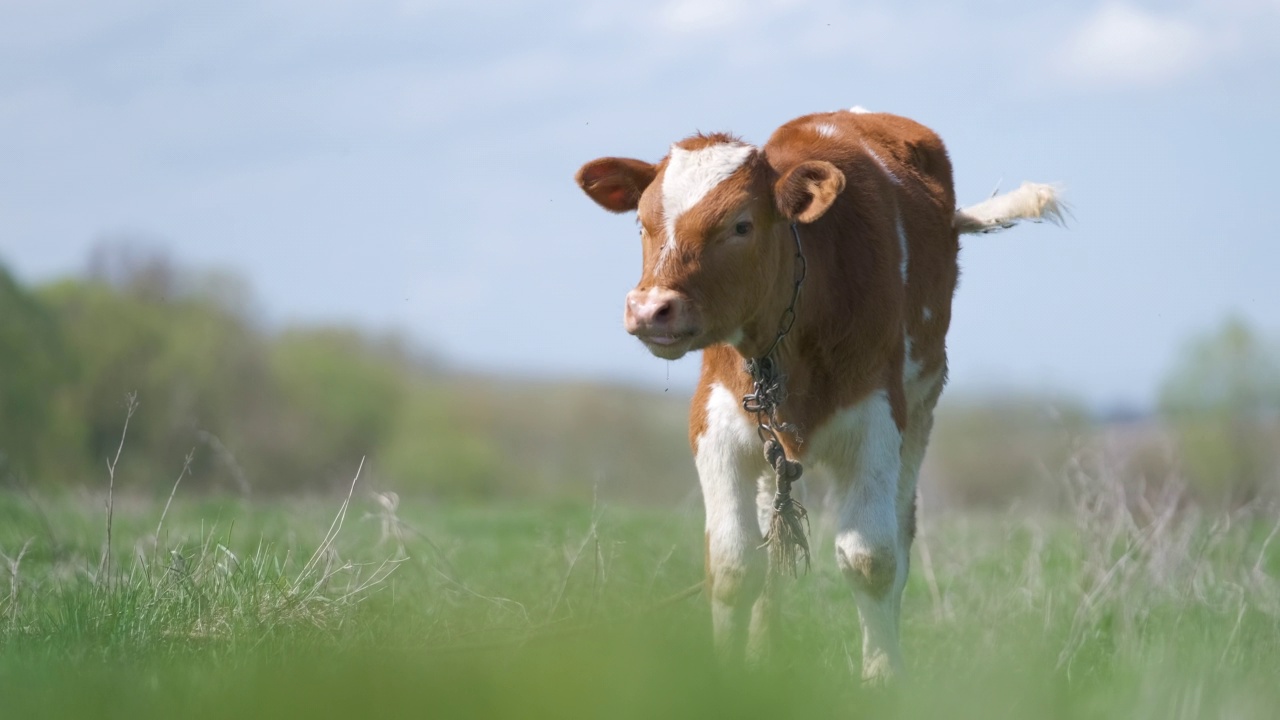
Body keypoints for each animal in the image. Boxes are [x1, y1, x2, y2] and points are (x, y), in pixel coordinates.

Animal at [576, 106, 1064, 676]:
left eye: (740, 224)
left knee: (900, 537)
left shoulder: (877, 422)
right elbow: (733, 565)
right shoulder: (717, 427)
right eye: (642, 223)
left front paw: (883, 676)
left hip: (919, 413)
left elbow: (871, 559)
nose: (651, 309)